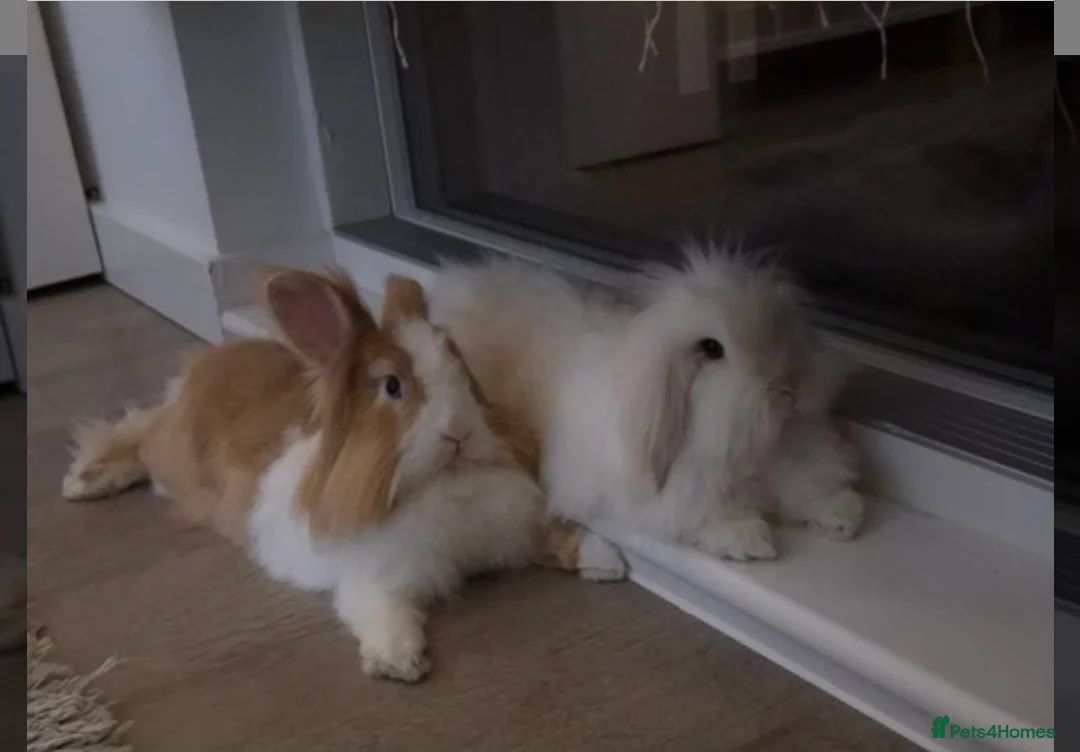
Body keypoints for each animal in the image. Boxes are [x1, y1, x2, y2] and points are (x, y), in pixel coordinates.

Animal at [61, 268, 625, 682]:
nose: (459, 433)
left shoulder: (511, 528)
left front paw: (608, 561)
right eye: (392, 387)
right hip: (171, 455)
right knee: (135, 430)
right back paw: (84, 482)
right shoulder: (371, 575)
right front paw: (399, 661)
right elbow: (380, 609)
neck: (438, 484)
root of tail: (203, 366)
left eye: (460, 367)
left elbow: (557, 537)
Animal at [430, 243, 867, 562]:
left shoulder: (792, 460)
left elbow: (805, 486)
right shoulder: (679, 494)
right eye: (712, 348)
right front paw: (752, 540)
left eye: (782, 325)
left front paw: (843, 516)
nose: (789, 388)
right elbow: (705, 515)